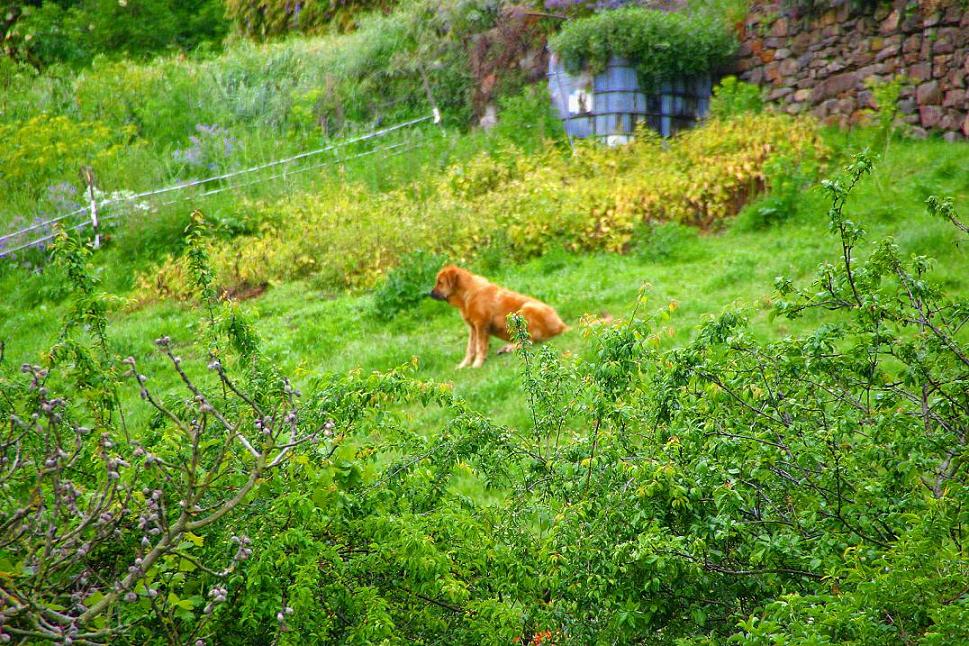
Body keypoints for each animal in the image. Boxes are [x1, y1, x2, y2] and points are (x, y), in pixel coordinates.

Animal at [430, 266, 568, 370]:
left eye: (440, 283)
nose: (429, 293)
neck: (467, 294)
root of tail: (562, 325)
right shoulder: (472, 328)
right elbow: (470, 348)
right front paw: (463, 365)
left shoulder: (481, 325)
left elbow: (480, 346)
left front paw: (477, 364)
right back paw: (506, 348)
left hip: (524, 311)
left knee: (530, 340)